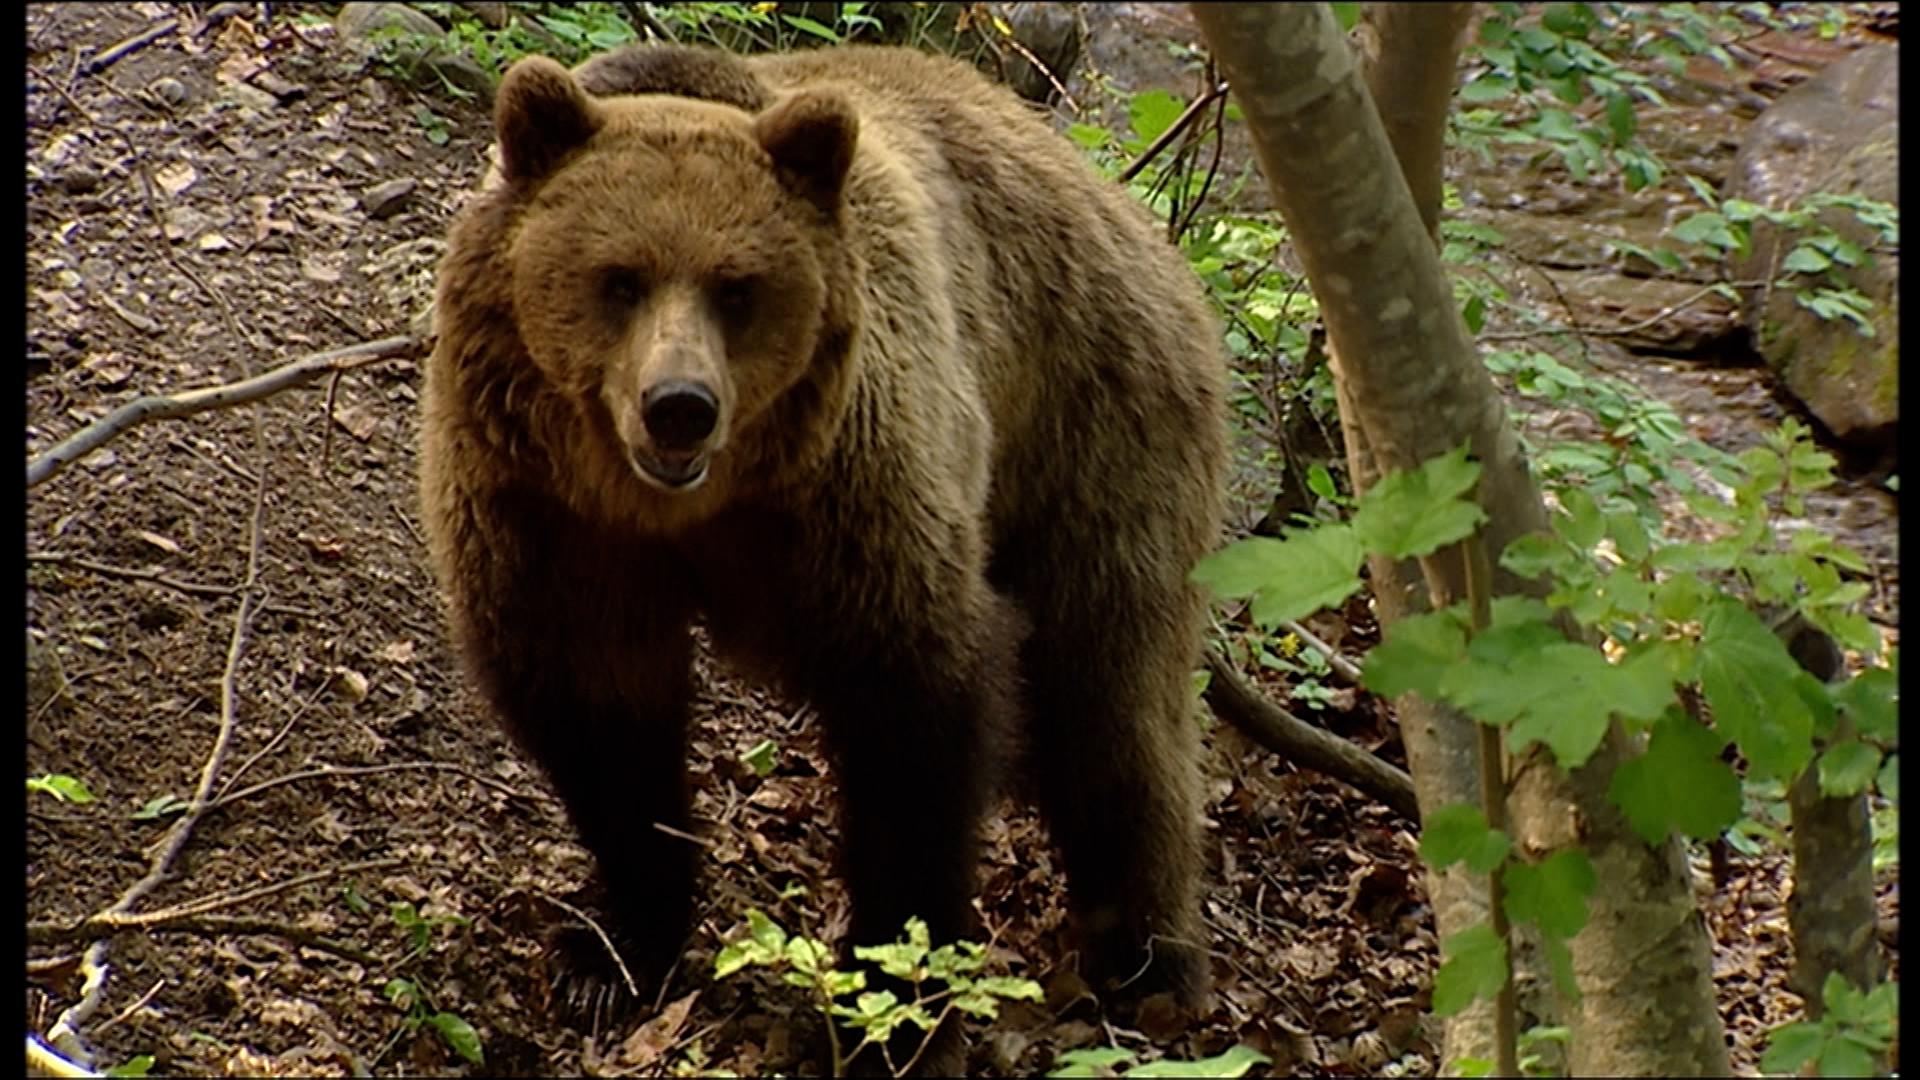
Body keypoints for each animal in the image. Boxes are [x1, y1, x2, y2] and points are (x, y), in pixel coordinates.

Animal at [419, 40, 1228, 1059]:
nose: (679, 406)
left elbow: (915, 709)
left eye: (736, 288)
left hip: (1097, 425)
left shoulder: (853, 494)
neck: (682, 510)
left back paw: (1149, 958)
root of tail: (1134, 218)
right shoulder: (548, 516)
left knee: (1113, 697)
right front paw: (607, 952)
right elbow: (602, 718)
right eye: (619, 278)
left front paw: (890, 991)